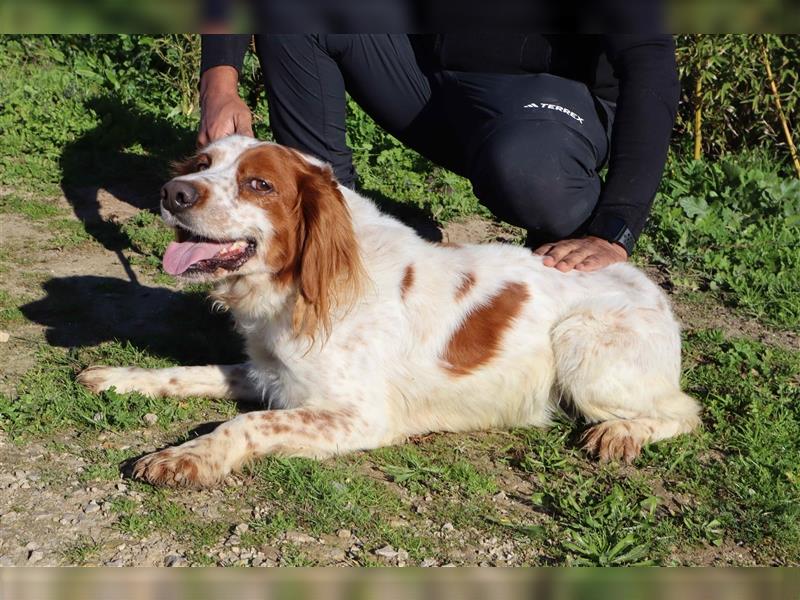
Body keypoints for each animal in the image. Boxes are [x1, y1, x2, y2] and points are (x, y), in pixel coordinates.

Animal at [76, 136, 700, 488]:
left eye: (259, 184)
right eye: (203, 162)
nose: (173, 193)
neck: (304, 289)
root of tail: (646, 282)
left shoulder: (358, 416)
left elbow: (245, 422)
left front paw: (185, 457)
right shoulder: (271, 374)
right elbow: (191, 372)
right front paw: (118, 376)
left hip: (582, 347)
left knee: (683, 410)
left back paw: (622, 433)